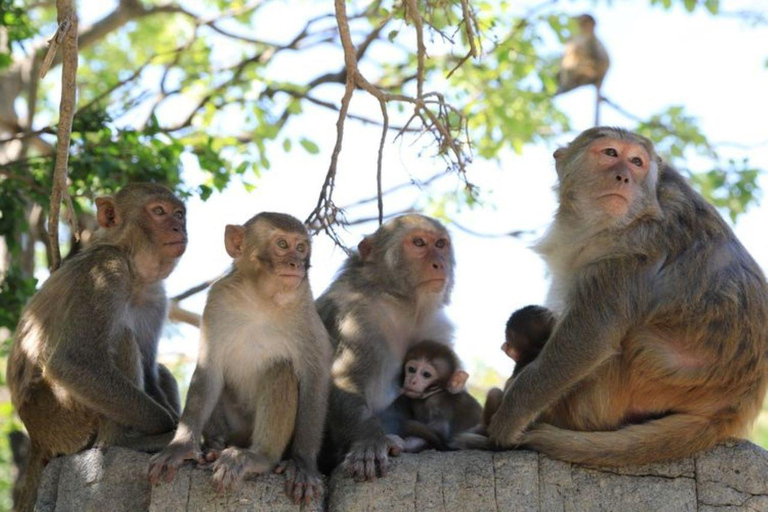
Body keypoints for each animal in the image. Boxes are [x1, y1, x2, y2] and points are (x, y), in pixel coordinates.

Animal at [7, 184, 188, 512]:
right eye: (158, 211)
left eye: (179, 213)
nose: (179, 227)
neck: (132, 268)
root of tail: (37, 438)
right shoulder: (104, 271)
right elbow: (73, 361)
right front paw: (172, 427)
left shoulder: (156, 298)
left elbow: (151, 372)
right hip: (65, 417)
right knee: (121, 339)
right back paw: (124, 442)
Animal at [148, 212, 332, 504]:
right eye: (282, 244)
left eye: (301, 247)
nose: (296, 263)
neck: (261, 299)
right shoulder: (218, 299)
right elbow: (209, 370)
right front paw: (181, 447)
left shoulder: (305, 311)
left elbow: (314, 379)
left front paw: (303, 464)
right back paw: (214, 446)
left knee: (280, 368)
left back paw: (258, 457)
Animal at [318, 212, 456, 480]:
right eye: (419, 243)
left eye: (440, 244)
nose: (439, 264)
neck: (402, 304)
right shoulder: (359, 317)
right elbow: (343, 379)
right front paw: (368, 442)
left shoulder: (435, 327)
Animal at [488, 126, 764, 466]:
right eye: (610, 153)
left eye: (636, 162)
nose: (623, 177)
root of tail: (733, 408)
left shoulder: (637, 249)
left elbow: (589, 338)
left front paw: (509, 417)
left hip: (630, 387)